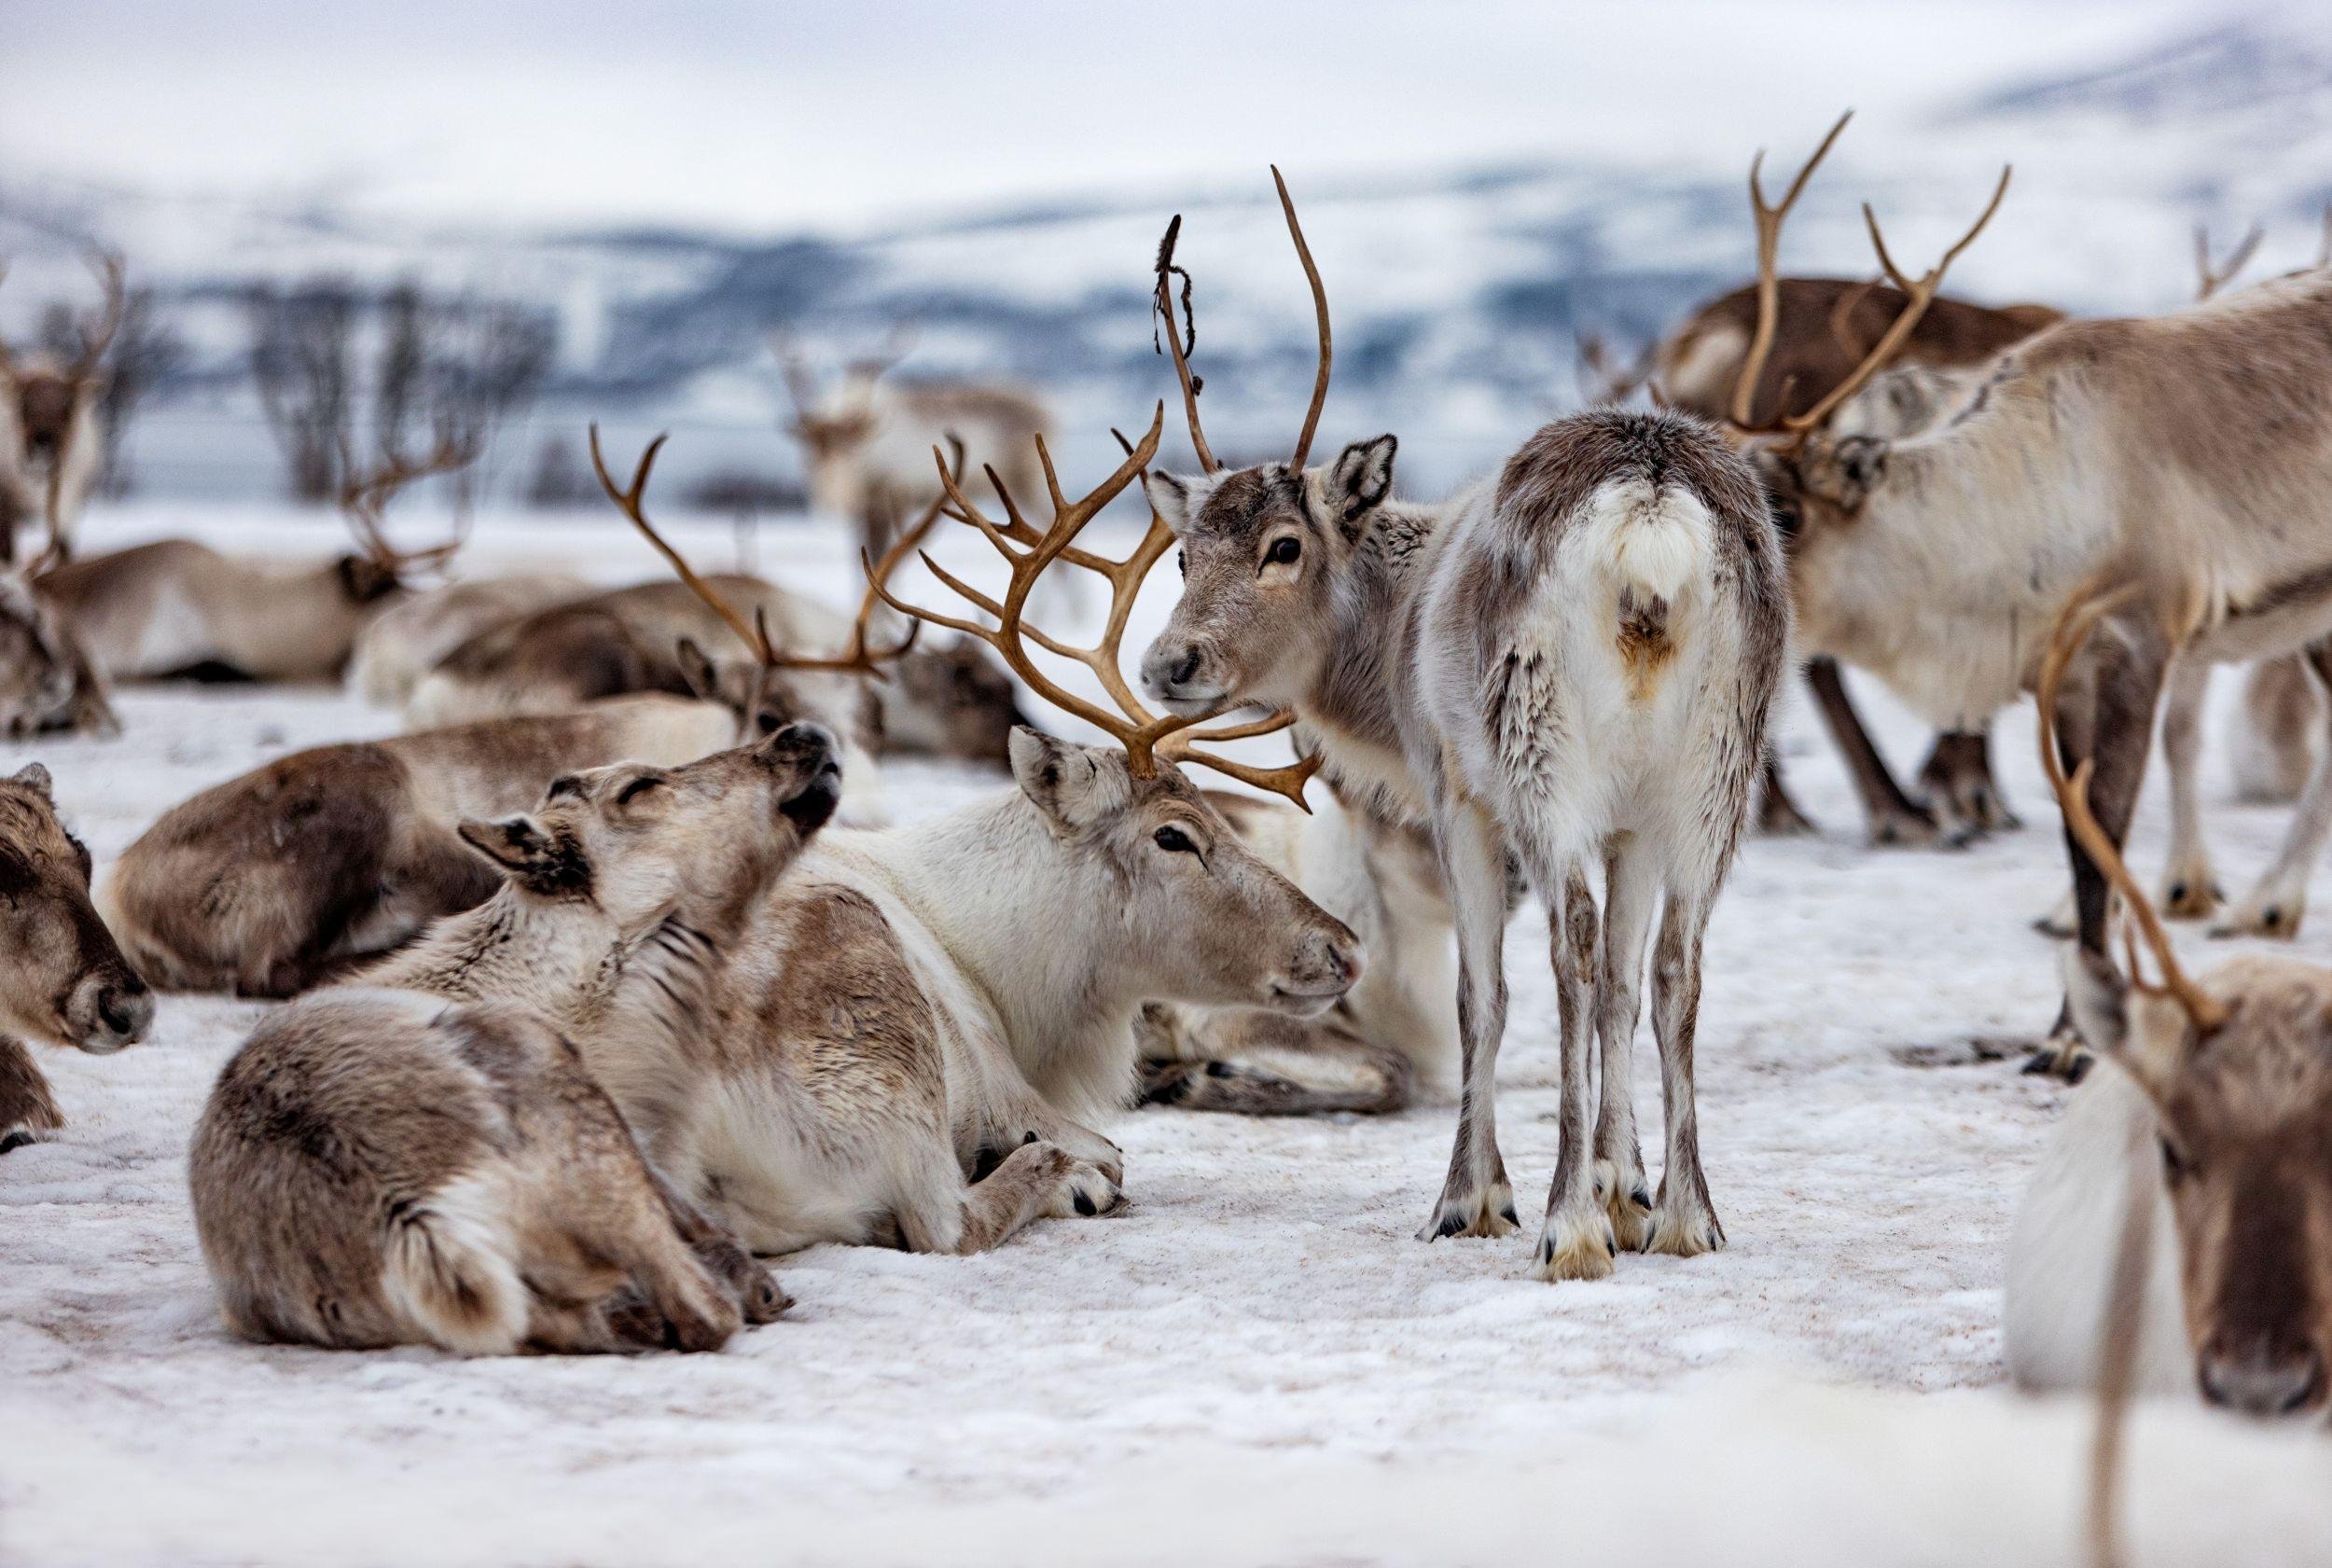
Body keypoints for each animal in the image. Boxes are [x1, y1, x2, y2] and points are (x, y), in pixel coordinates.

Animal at [188, 723, 836, 1354]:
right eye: (637, 787)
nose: (804, 734)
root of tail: (415, 1214)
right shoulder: (638, 1137)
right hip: (572, 1116)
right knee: (700, 1309)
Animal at [359, 410, 1361, 1257]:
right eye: (1173, 836)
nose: (1343, 946)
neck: (1006, 966)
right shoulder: (994, 1079)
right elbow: (1101, 1148)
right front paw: (1078, 1166)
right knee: (945, 1219)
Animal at [1135, 171, 1790, 1281]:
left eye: (1282, 545)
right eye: (1182, 554)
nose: (1168, 663)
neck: (1391, 629)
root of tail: (1652, 509)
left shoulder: (1453, 790)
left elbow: (1482, 996)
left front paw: (1479, 1198)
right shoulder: (1630, 816)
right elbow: (1626, 985)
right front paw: (1628, 1190)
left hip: (1537, 751)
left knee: (1569, 951)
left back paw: (1566, 1227)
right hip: (1716, 769)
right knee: (1675, 965)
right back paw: (1690, 1215)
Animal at [1732, 115, 2332, 1077]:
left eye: (1785, 512)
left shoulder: (2135, 640)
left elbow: (2105, 846)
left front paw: (2073, 1040)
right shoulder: (2061, 679)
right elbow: (2085, 852)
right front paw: (2065, 1026)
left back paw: (2268, 902)